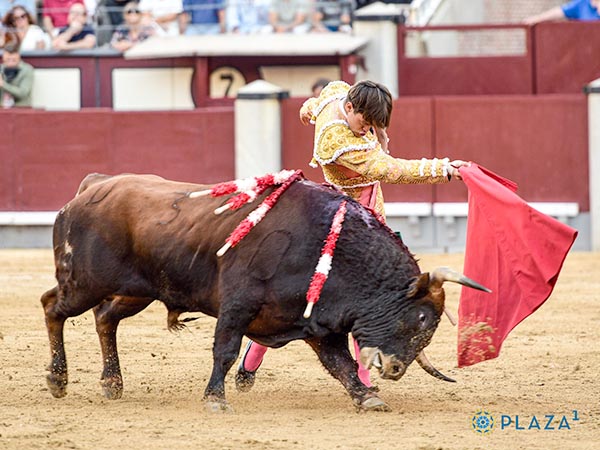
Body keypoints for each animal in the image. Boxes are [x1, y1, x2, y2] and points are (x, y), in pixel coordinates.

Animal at [43, 172, 492, 412]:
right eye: (420, 318)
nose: (396, 369)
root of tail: (92, 187)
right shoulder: (236, 306)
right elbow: (224, 352)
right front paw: (215, 399)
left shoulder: (317, 326)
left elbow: (342, 366)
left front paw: (367, 397)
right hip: (85, 281)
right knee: (53, 307)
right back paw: (58, 380)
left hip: (136, 291)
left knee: (105, 318)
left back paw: (111, 383)